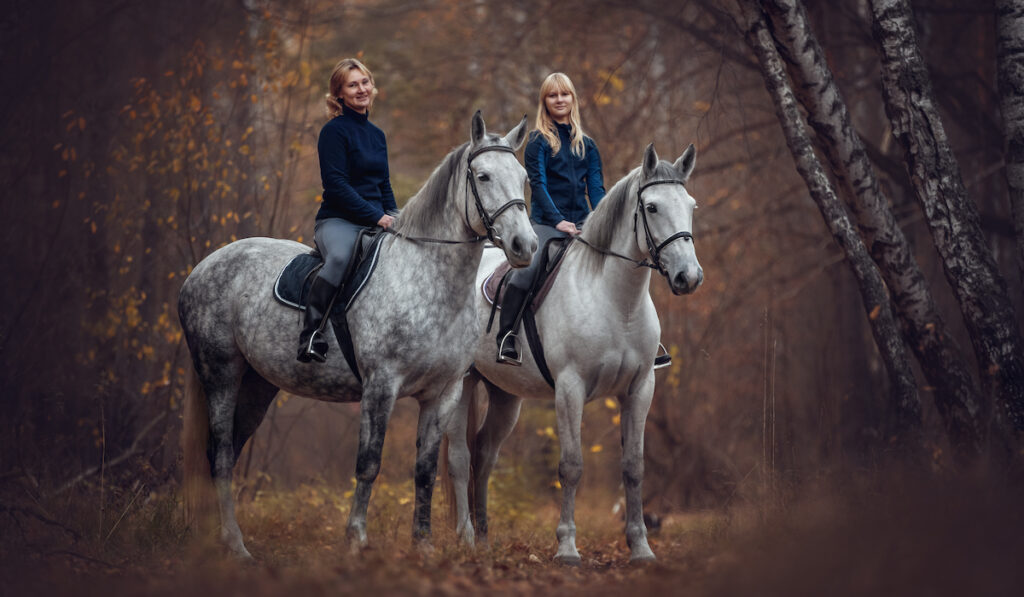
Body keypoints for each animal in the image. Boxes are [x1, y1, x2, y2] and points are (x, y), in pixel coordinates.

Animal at [180, 112, 540, 561]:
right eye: (484, 175)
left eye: (523, 177)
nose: (525, 246)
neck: (428, 279)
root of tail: (202, 268)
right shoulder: (381, 386)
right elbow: (369, 463)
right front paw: (356, 539)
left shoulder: (443, 393)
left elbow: (424, 470)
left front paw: (423, 545)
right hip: (222, 374)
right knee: (223, 454)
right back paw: (235, 544)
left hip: (257, 384)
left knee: (225, 449)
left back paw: (221, 540)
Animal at [448, 143, 704, 565]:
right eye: (651, 207)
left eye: (691, 205)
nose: (689, 277)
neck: (616, 300)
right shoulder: (570, 389)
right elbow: (571, 466)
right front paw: (567, 547)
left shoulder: (639, 389)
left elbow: (634, 468)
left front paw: (641, 548)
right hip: (462, 383)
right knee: (459, 457)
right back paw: (465, 539)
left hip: (505, 395)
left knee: (484, 454)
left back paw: (483, 540)